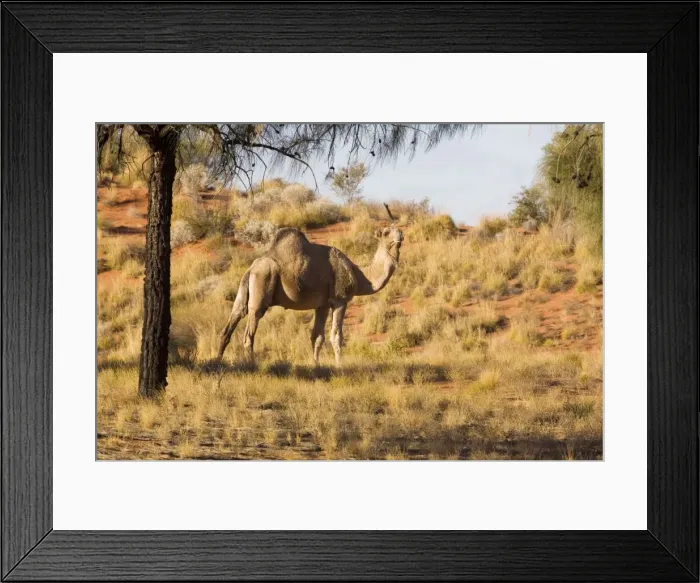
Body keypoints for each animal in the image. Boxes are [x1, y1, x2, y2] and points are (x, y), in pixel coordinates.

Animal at [217, 217, 403, 365]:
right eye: (386, 232)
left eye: (398, 230)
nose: (400, 235)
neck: (360, 276)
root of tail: (251, 269)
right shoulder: (340, 300)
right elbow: (336, 336)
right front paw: (340, 365)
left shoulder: (322, 305)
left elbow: (317, 337)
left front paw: (316, 365)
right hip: (262, 284)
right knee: (249, 333)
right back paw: (251, 365)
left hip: (245, 290)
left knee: (230, 324)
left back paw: (217, 362)